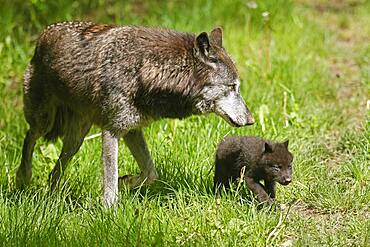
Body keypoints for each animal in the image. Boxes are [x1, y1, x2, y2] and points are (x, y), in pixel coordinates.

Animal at [16, 21, 254, 205]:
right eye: (233, 87)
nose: (251, 120)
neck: (148, 70)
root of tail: (44, 34)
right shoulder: (111, 131)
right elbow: (110, 184)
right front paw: (109, 213)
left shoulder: (132, 130)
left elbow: (150, 173)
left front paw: (126, 182)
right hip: (44, 121)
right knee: (29, 137)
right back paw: (23, 177)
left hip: (76, 140)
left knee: (54, 170)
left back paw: (52, 195)